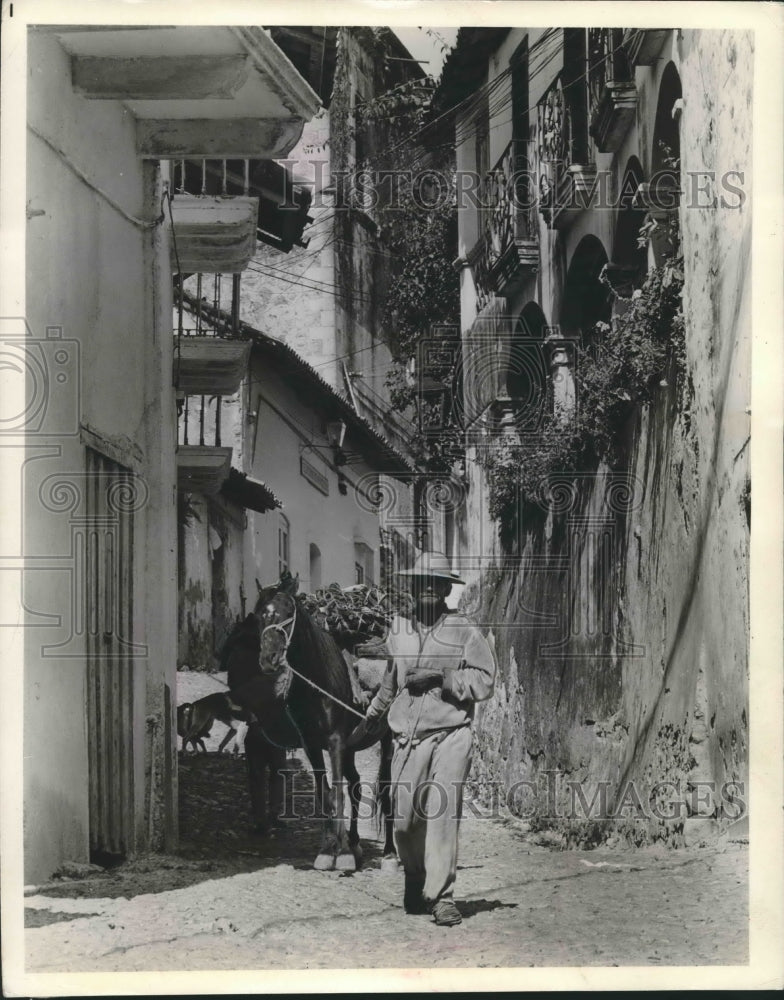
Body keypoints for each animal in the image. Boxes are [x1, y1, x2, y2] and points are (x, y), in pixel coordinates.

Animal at [219, 576, 396, 872]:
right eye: (260, 616)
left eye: (288, 614)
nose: (269, 659)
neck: (318, 682)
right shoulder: (312, 744)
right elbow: (325, 793)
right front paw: (329, 850)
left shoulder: (335, 741)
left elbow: (337, 791)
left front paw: (342, 854)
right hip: (350, 747)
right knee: (356, 785)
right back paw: (355, 843)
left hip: (388, 740)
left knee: (385, 789)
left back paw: (390, 853)